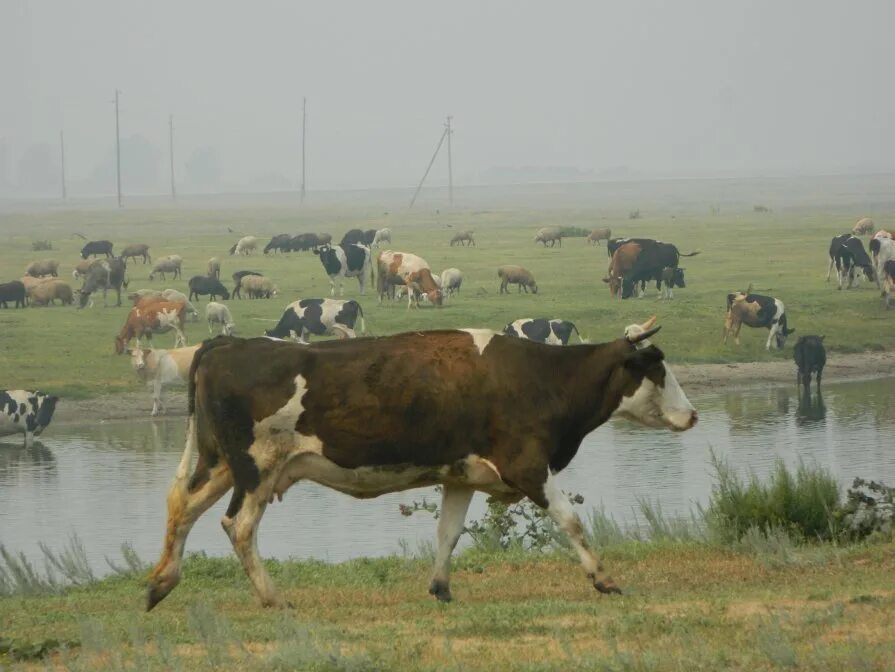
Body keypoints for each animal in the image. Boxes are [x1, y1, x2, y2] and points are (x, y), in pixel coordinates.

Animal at [144, 318, 696, 612]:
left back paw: (160, 584)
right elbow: (571, 521)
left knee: (181, 506)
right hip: (256, 468)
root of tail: (228, 343)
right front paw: (604, 579)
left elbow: (448, 533)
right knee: (237, 526)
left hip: (220, 463)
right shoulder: (528, 466)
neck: (540, 378)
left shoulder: (461, 475)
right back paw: (272, 598)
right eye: (659, 371)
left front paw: (441, 588)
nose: (692, 414)